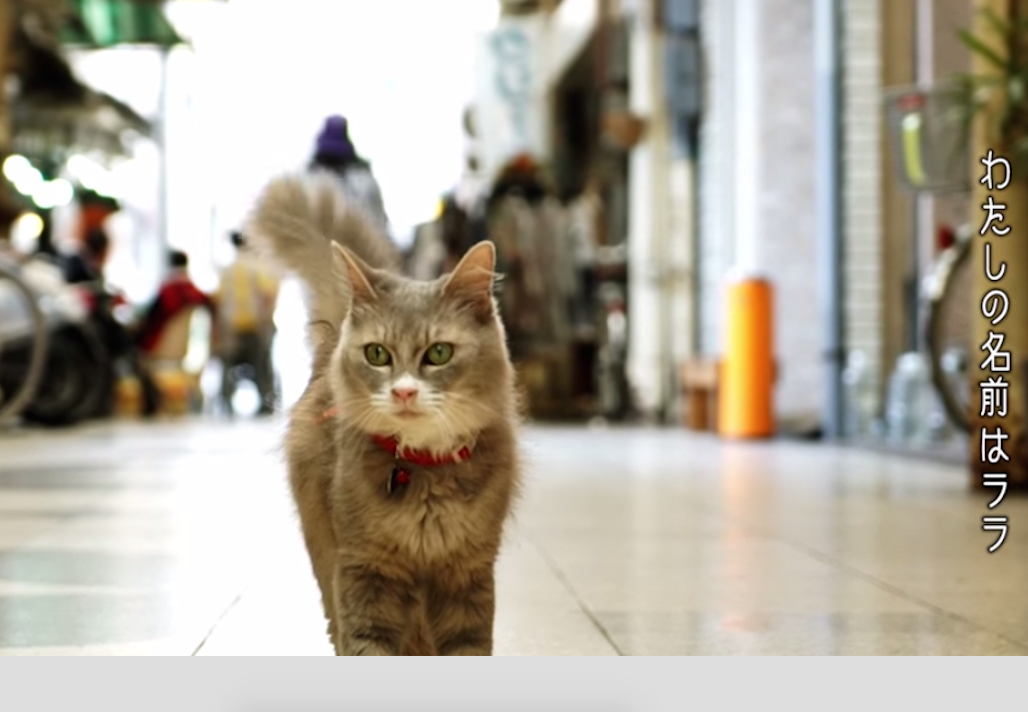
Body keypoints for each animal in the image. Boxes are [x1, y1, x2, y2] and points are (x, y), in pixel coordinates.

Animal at [244, 172, 518, 653]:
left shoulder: (468, 575)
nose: (404, 392)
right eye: (377, 354)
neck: (424, 472)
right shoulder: (365, 572)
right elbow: (366, 643)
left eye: (439, 353)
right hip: (325, 555)